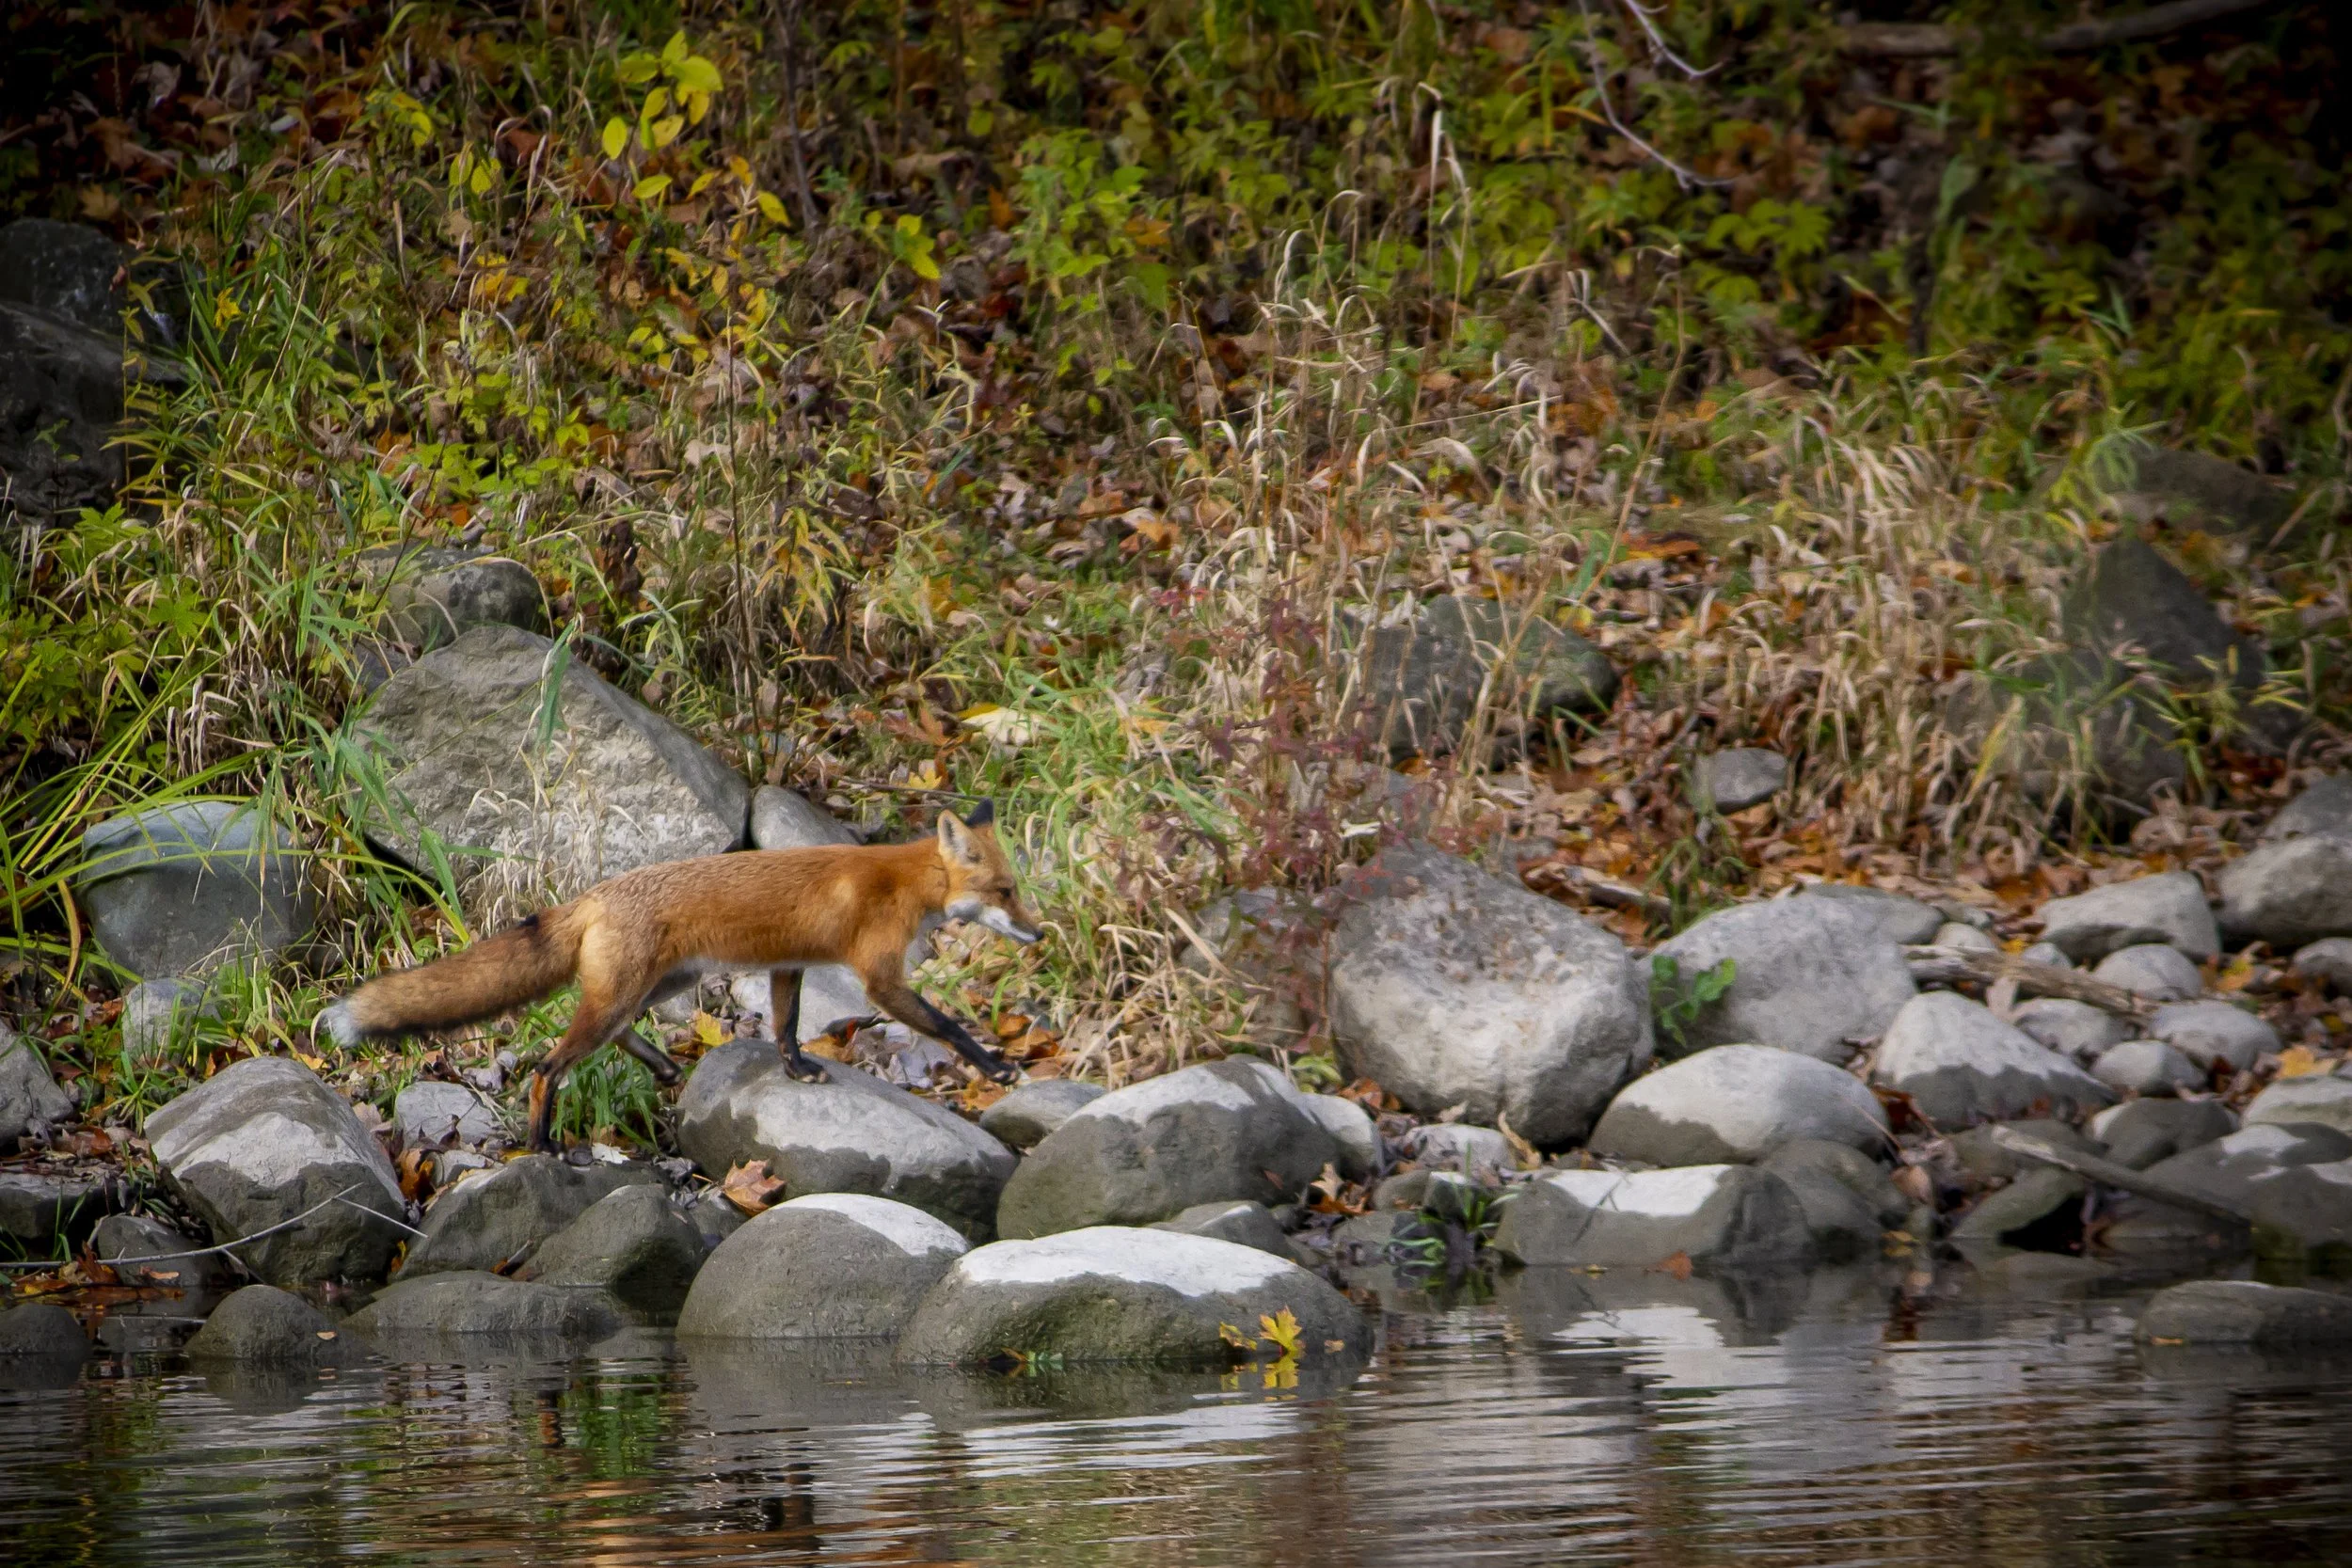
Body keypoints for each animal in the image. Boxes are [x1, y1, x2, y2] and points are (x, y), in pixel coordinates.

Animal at [316, 802, 1040, 1154]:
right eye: (1006, 892)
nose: (1038, 934)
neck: (905, 882)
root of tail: (594, 894)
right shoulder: (881, 980)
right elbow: (949, 1025)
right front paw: (997, 1066)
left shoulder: (788, 963)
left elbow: (785, 1025)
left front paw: (796, 1068)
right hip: (622, 995)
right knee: (549, 1067)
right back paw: (541, 1143)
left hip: (649, 989)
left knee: (614, 1036)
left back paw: (664, 1069)